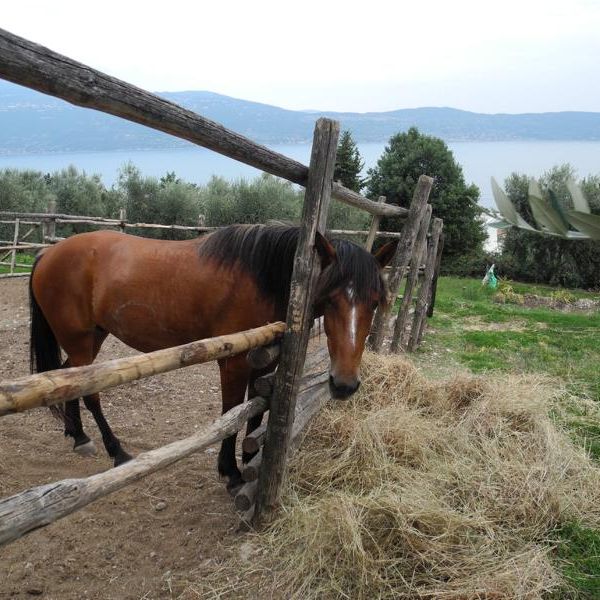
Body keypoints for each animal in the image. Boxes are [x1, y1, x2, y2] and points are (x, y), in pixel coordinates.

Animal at [30, 225, 398, 492]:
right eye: (332, 297)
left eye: (375, 301)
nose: (344, 384)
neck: (266, 275)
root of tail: (50, 251)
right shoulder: (234, 363)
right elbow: (230, 414)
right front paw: (231, 472)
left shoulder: (265, 362)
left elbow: (254, 412)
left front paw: (251, 459)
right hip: (80, 340)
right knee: (89, 392)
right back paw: (116, 451)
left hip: (93, 337)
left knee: (68, 380)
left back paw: (78, 436)